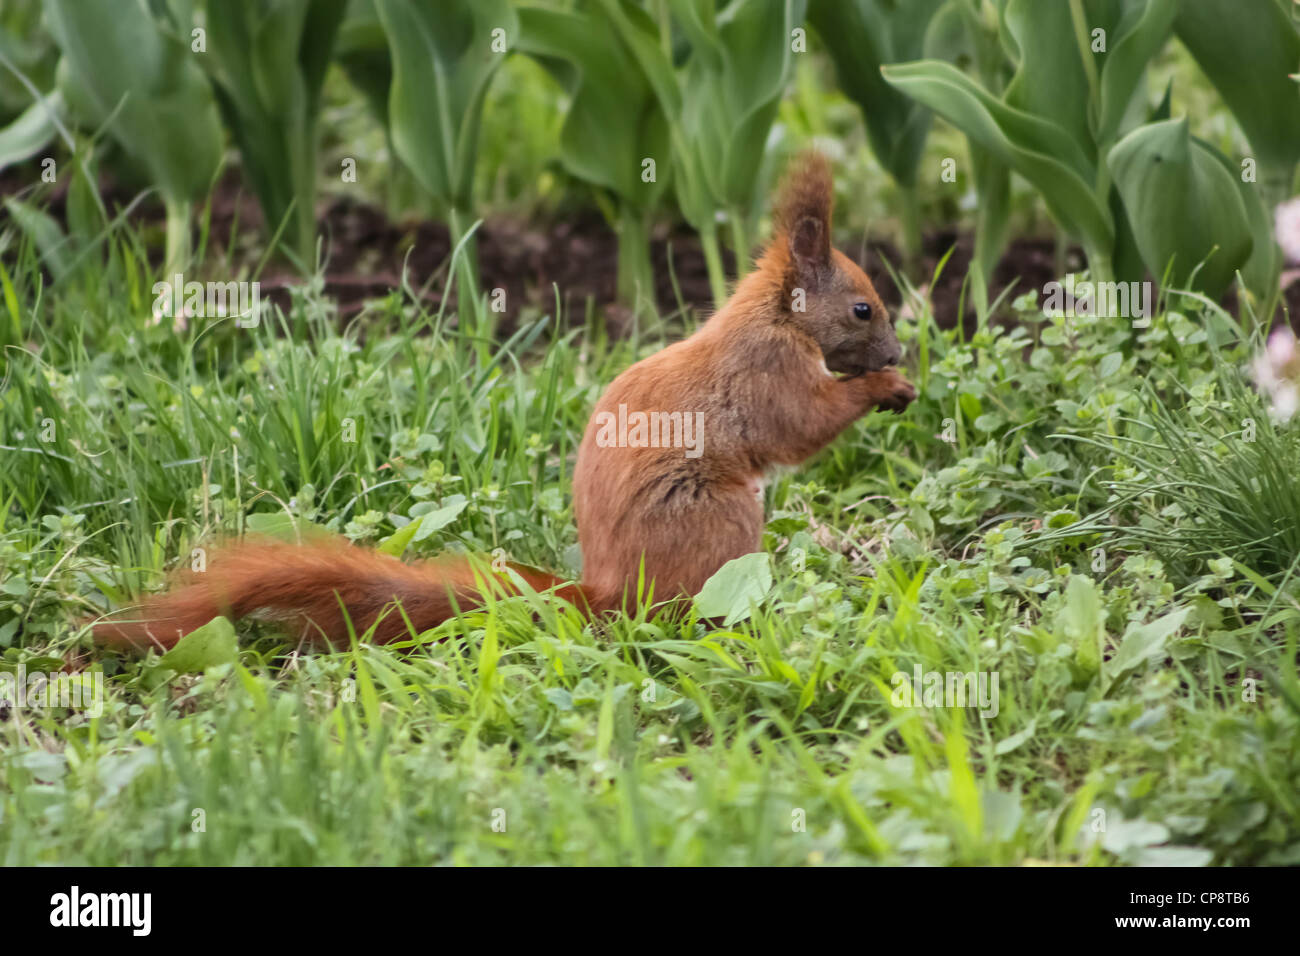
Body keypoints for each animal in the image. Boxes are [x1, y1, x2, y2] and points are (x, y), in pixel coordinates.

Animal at [91, 155, 915, 650]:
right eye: (863, 309)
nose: (897, 354)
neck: (775, 319)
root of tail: (607, 592)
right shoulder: (766, 372)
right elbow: (801, 424)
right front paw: (885, 390)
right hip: (719, 518)